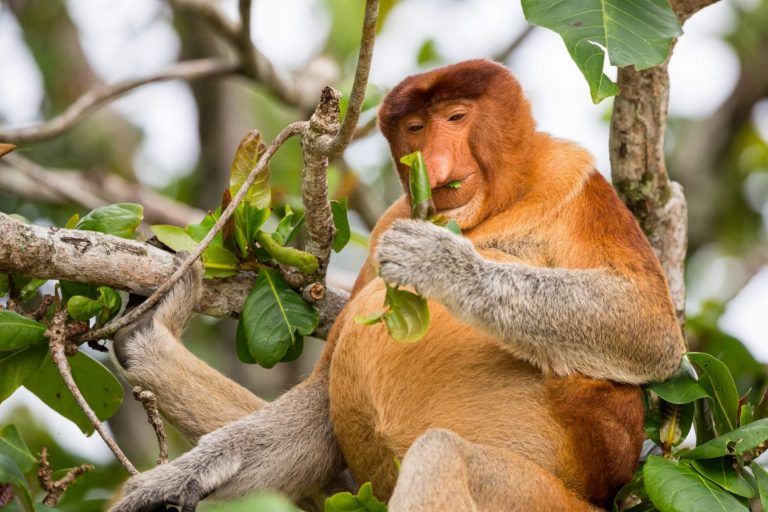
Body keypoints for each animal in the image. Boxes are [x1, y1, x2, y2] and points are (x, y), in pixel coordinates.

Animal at [108, 61, 684, 512]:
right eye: (415, 127)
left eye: (457, 118)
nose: (435, 165)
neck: (497, 203)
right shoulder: (391, 215)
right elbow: (319, 407)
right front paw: (177, 478)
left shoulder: (573, 179)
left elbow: (648, 326)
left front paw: (437, 260)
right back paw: (147, 338)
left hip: (540, 499)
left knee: (442, 453)